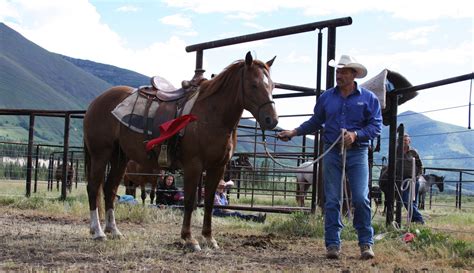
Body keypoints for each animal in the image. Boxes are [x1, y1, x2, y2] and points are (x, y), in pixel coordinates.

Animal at [84, 51, 280, 249]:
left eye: (272, 85)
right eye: (254, 84)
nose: (272, 120)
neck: (211, 115)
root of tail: (96, 103)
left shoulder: (217, 167)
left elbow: (209, 202)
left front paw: (209, 238)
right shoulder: (193, 165)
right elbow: (190, 201)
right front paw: (189, 238)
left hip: (119, 158)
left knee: (109, 188)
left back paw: (113, 230)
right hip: (100, 155)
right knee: (93, 187)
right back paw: (98, 232)